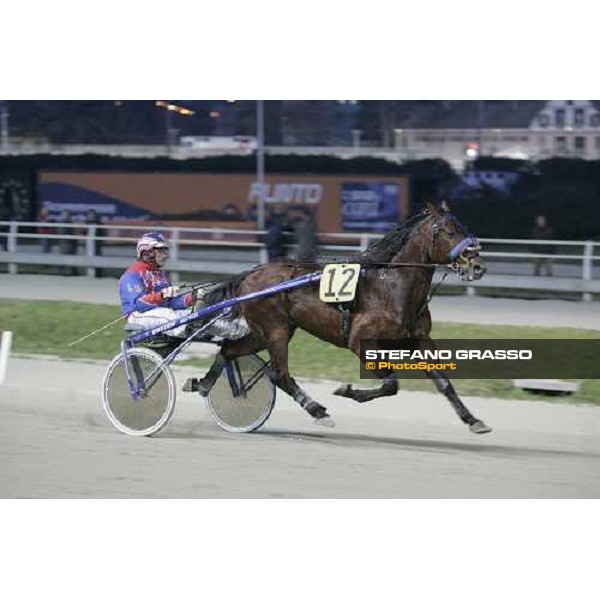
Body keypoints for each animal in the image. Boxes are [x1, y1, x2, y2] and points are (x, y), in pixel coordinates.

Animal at [197, 206, 492, 436]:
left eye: (464, 228)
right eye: (450, 232)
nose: (478, 266)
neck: (393, 290)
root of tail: (250, 275)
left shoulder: (419, 340)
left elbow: (443, 382)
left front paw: (473, 420)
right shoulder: (361, 341)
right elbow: (391, 384)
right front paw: (348, 390)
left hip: (267, 332)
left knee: (229, 350)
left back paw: (206, 385)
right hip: (275, 330)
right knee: (279, 374)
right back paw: (318, 411)